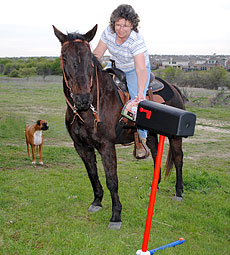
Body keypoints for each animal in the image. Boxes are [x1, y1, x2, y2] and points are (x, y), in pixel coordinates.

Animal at [53, 25, 184, 229]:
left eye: (89, 58)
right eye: (64, 56)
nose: (82, 99)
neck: (90, 109)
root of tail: (175, 88)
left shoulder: (107, 146)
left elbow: (111, 180)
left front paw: (116, 216)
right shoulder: (81, 146)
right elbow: (92, 174)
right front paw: (97, 202)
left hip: (175, 137)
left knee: (178, 159)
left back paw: (179, 193)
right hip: (151, 135)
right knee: (156, 155)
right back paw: (155, 187)